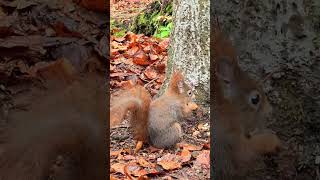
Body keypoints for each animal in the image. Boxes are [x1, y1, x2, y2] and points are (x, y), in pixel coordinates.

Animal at [212, 29, 282, 179]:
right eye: (255, 99)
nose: (269, 110)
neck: (224, 107)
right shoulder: (229, 139)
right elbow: (248, 150)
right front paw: (273, 140)